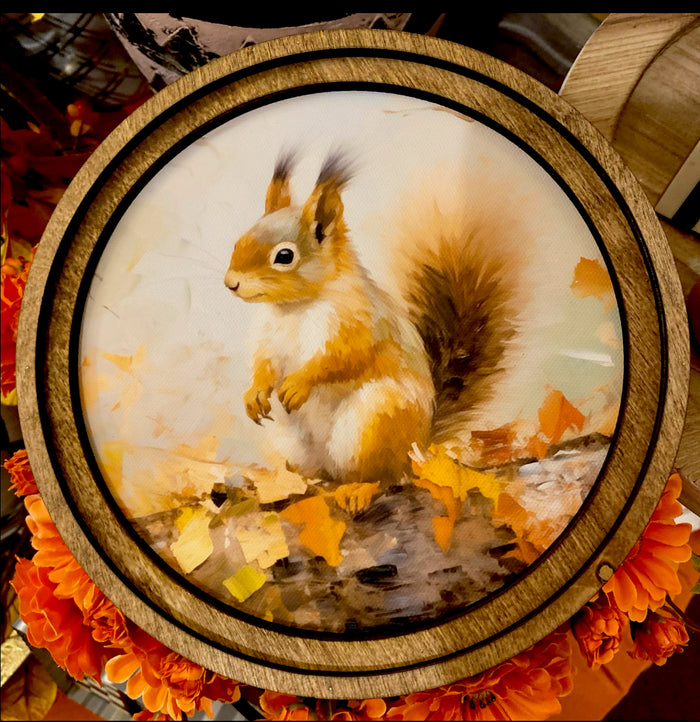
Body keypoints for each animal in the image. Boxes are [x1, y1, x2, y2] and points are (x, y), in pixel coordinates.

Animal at [224, 150, 519, 486]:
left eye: (284, 256)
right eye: (238, 241)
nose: (230, 282)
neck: (294, 307)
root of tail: (418, 450)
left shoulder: (359, 322)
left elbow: (344, 357)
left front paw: (299, 383)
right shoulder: (267, 336)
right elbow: (264, 363)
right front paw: (255, 393)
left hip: (374, 421)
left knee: (378, 476)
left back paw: (357, 489)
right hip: (289, 441)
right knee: (319, 473)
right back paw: (305, 484)